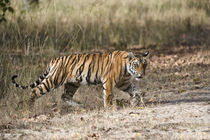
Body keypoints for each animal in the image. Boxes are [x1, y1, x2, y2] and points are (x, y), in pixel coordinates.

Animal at [11, 50, 149, 107]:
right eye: (136, 65)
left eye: (145, 64)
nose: (141, 75)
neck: (127, 70)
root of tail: (55, 59)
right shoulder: (109, 81)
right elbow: (108, 95)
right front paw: (110, 107)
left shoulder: (123, 83)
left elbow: (136, 90)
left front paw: (136, 101)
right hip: (53, 80)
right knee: (35, 91)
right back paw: (29, 107)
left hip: (72, 83)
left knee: (65, 96)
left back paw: (79, 106)